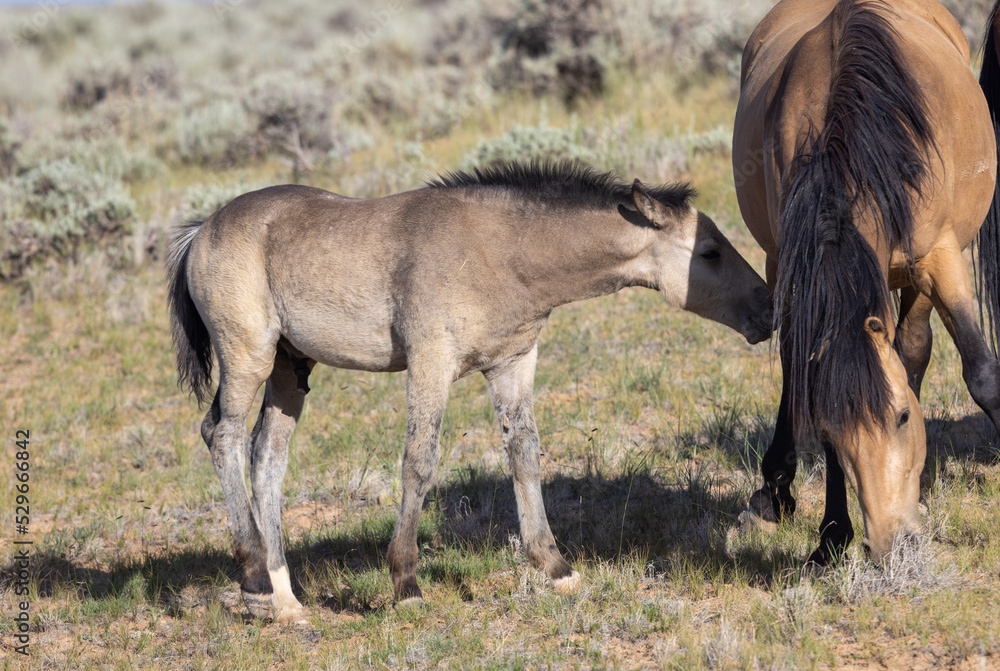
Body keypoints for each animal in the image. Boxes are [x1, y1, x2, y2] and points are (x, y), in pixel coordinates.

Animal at [170, 160, 772, 624]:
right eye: (710, 251)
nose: (769, 308)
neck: (502, 251)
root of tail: (202, 230)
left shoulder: (512, 364)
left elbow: (524, 455)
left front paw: (556, 568)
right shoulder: (431, 363)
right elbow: (419, 462)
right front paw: (406, 585)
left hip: (290, 369)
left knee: (266, 457)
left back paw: (286, 600)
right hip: (248, 358)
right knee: (222, 436)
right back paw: (254, 581)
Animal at [732, 0, 1000, 568]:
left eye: (902, 418)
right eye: (835, 436)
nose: (892, 544)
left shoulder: (941, 257)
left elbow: (982, 372)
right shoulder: (793, 268)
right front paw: (832, 534)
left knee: (912, 346)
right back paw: (774, 489)